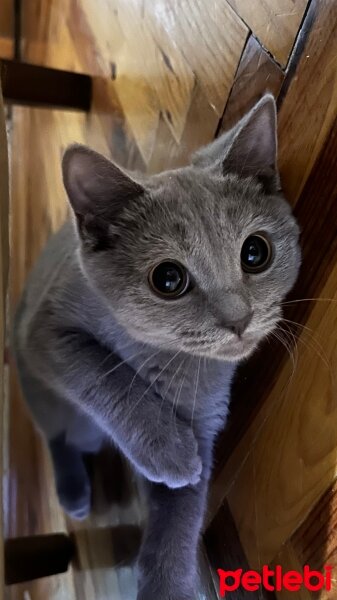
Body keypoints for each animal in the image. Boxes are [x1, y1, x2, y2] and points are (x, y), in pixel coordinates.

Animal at [12, 96, 300, 596]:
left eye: (255, 253)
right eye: (168, 279)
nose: (239, 319)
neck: (167, 360)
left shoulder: (204, 419)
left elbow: (181, 512)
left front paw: (168, 583)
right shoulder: (45, 331)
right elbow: (101, 372)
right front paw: (167, 449)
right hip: (45, 392)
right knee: (58, 435)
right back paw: (73, 490)